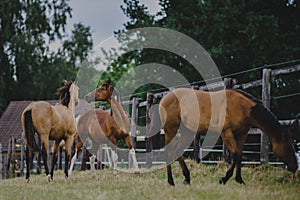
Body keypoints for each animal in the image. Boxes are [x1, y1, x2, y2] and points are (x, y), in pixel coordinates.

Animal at [158, 88, 298, 185]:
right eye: (288, 147)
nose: (295, 167)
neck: (242, 107)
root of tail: (164, 99)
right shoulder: (226, 133)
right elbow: (235, 155)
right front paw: (224, 179)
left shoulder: (242, 134)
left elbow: (240, 155)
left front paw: (239, 180)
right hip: (171, 130)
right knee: (169, 150)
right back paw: (171, 181)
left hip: (187, 132)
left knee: (177, 150)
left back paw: (187, 178)